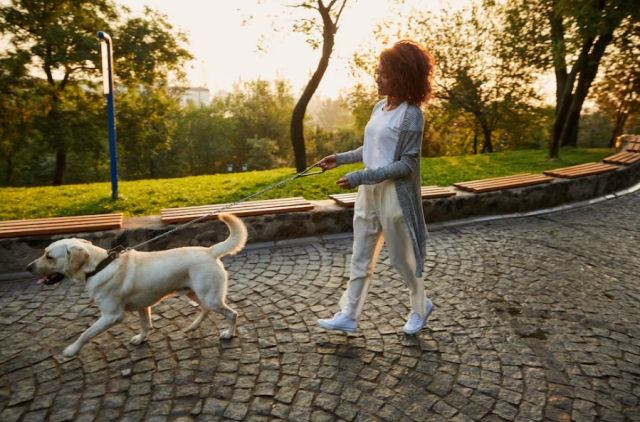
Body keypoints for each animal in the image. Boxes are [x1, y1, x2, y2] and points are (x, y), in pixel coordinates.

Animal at [26, 214, 245, 356]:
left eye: (49, 256)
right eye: (44, 252)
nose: (28, 267)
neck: (98, 266)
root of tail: (209, 250)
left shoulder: (112, 316)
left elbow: (85, 333)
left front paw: (71, 350)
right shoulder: (143, 306)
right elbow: (145, 324)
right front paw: (141, 339)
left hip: (209, 296)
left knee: (232, 313)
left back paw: (228, 334)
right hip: (192, 293)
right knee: (206, 310)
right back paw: (192, 326)